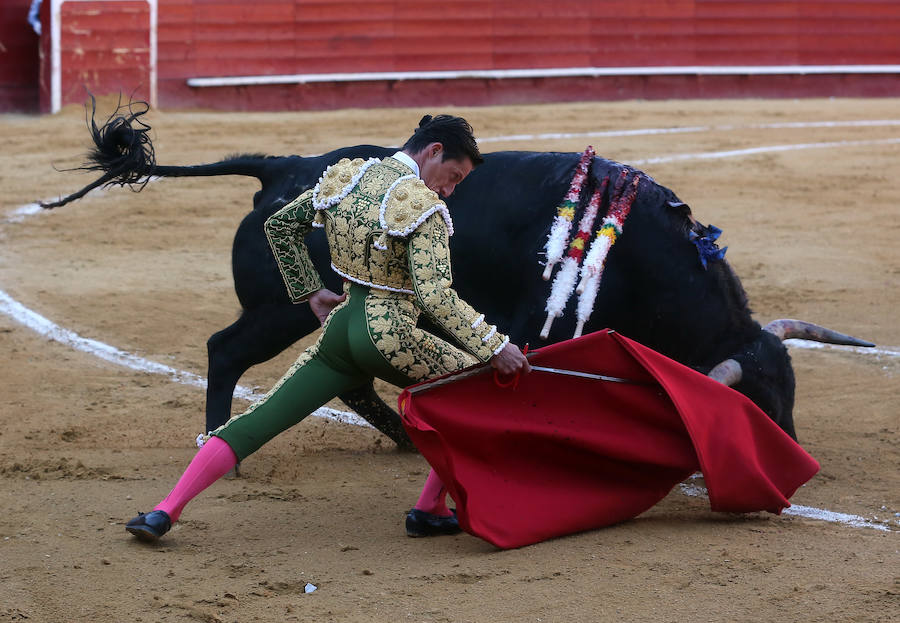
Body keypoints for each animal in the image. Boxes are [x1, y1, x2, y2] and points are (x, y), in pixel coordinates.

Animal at [47, 116, 872, 448]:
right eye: (754, 405)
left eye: (789, 394)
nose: (796, 464)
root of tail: (283, 167)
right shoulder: (537, 326)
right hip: (279, 308)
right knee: (225, 348)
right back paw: (215, 433)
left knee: (343, 377)